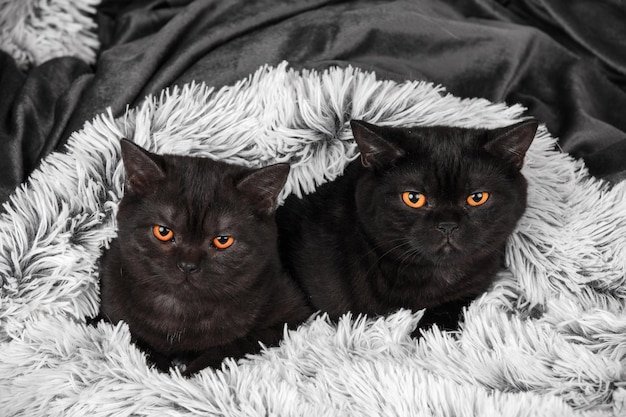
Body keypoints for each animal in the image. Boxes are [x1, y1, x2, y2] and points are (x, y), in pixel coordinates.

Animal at [98, 139, 310, 374]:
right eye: (163, 232)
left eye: (222, 240)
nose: (187, 265)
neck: (183, 311)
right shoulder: (113, 314)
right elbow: (139, 342)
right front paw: (161, 371)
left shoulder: (291, 315)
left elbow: (240, 343)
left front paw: (191, 373)